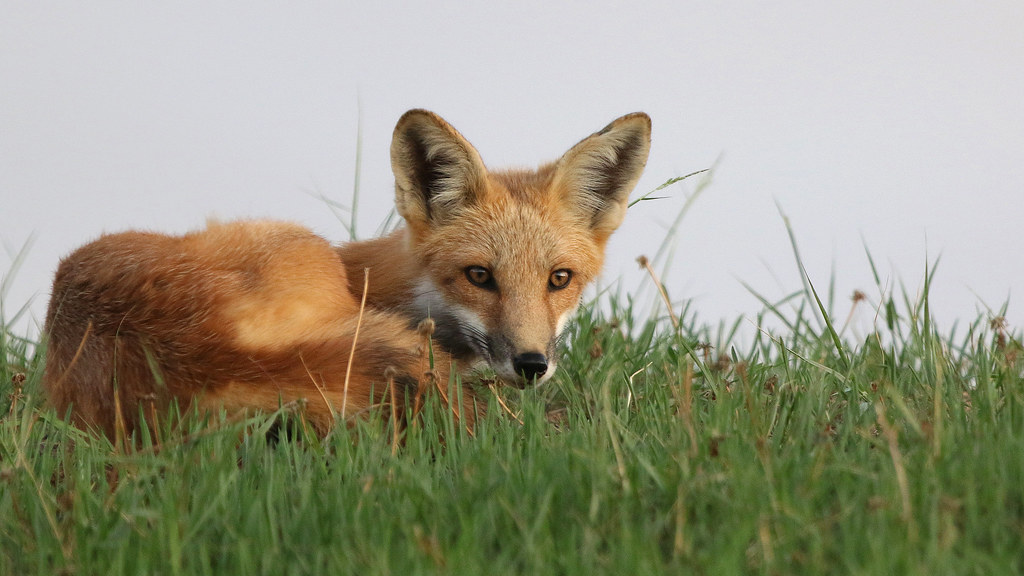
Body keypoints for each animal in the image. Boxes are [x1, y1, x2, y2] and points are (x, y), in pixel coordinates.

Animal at [41, 109, 652, 439]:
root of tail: (198, 351)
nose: (531, 365)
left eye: (559, 279)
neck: (378, 287)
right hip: (294, 237)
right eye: (479, 275)